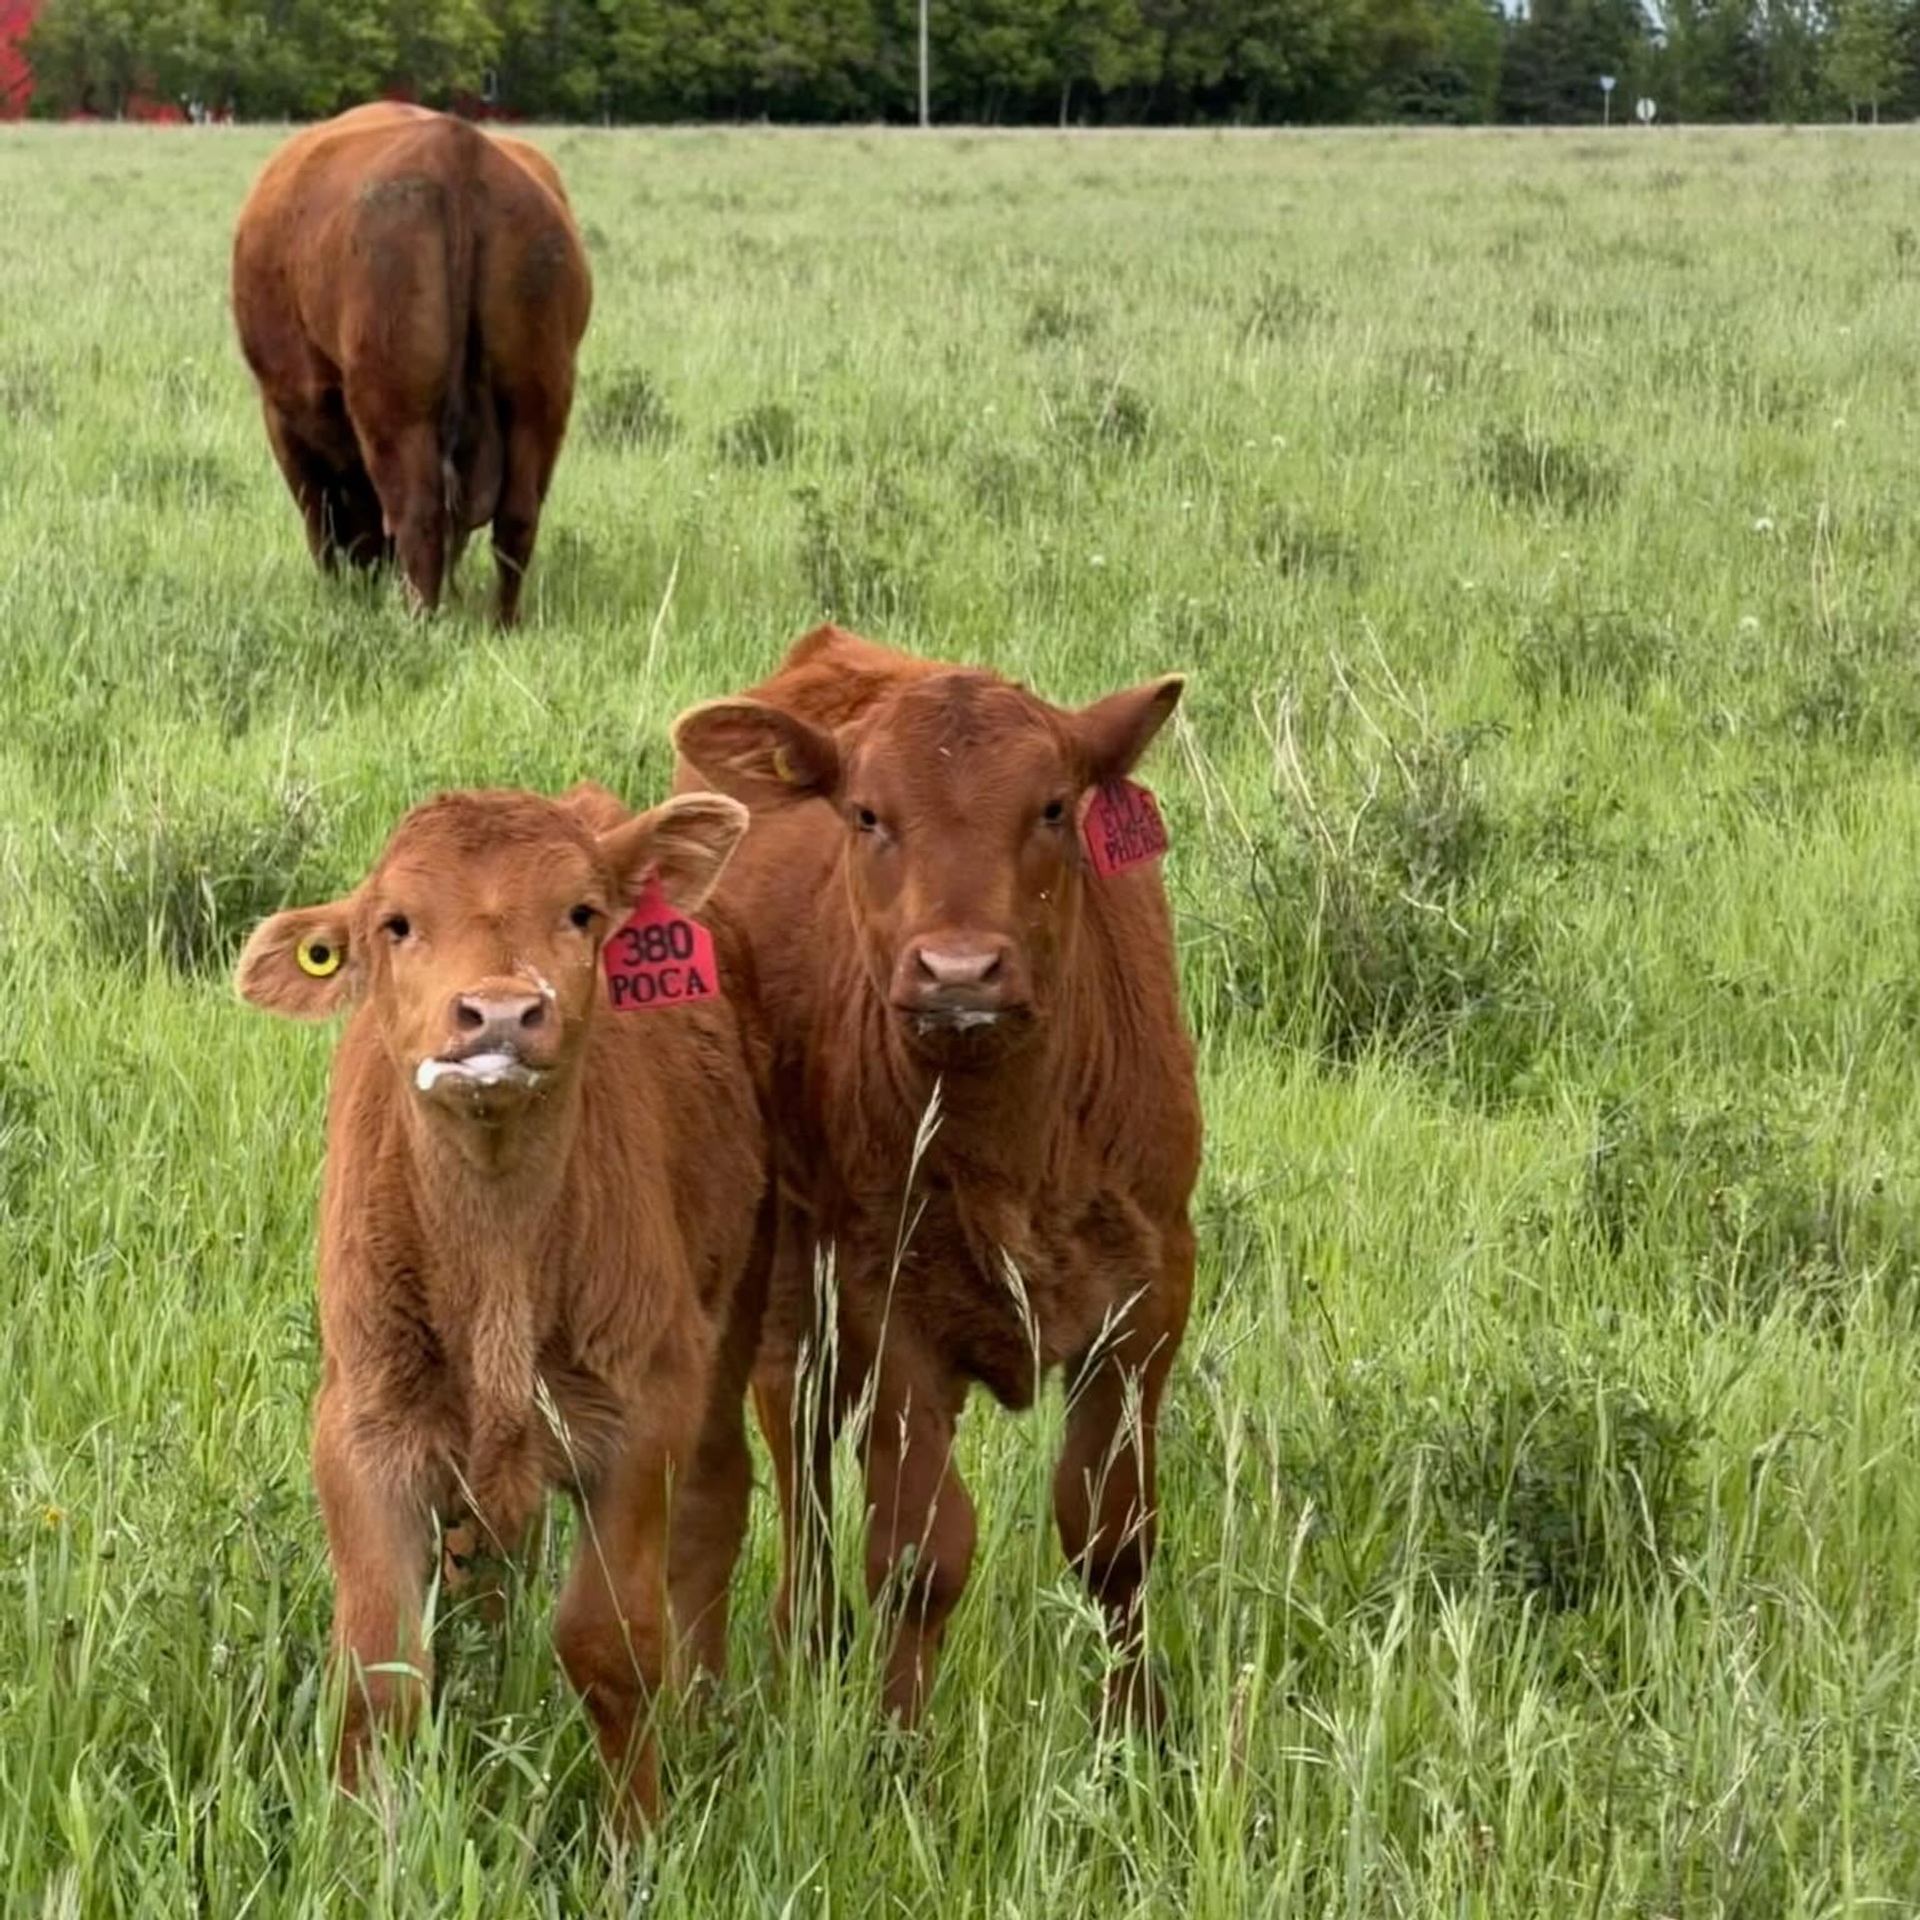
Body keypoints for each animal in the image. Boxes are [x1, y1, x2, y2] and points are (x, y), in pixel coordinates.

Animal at [231, 103, 591, 624]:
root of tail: (455, 150)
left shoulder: (283, 418)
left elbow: (319, 518)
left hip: (398, 412)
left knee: (418, 516)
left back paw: (417, 622)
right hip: (539, 399)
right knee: (516, 518)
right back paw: (503, 623)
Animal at [234, 781, 766, 1823]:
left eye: (583, 912)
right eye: (396, 923)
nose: (501, 1014)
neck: (497, 1268)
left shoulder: (647, 1408)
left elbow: (609, 1645)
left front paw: (638, 1839)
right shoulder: (361, 1426)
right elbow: (379, 1670)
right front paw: (364, 1840)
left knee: (714, 1505)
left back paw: (707, 1706)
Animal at [672, 625, 1201, 1731]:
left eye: (1053, 807)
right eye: (868, 814)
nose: (960, 973)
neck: (1018, 1148)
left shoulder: (1152, 1294)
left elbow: (1114, 1535)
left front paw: (1136, 1732)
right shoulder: (889, 1305)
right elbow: (919, 1554)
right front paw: (897, 1745)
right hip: (789, 1272)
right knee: (796, 1432)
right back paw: (810, 1635)